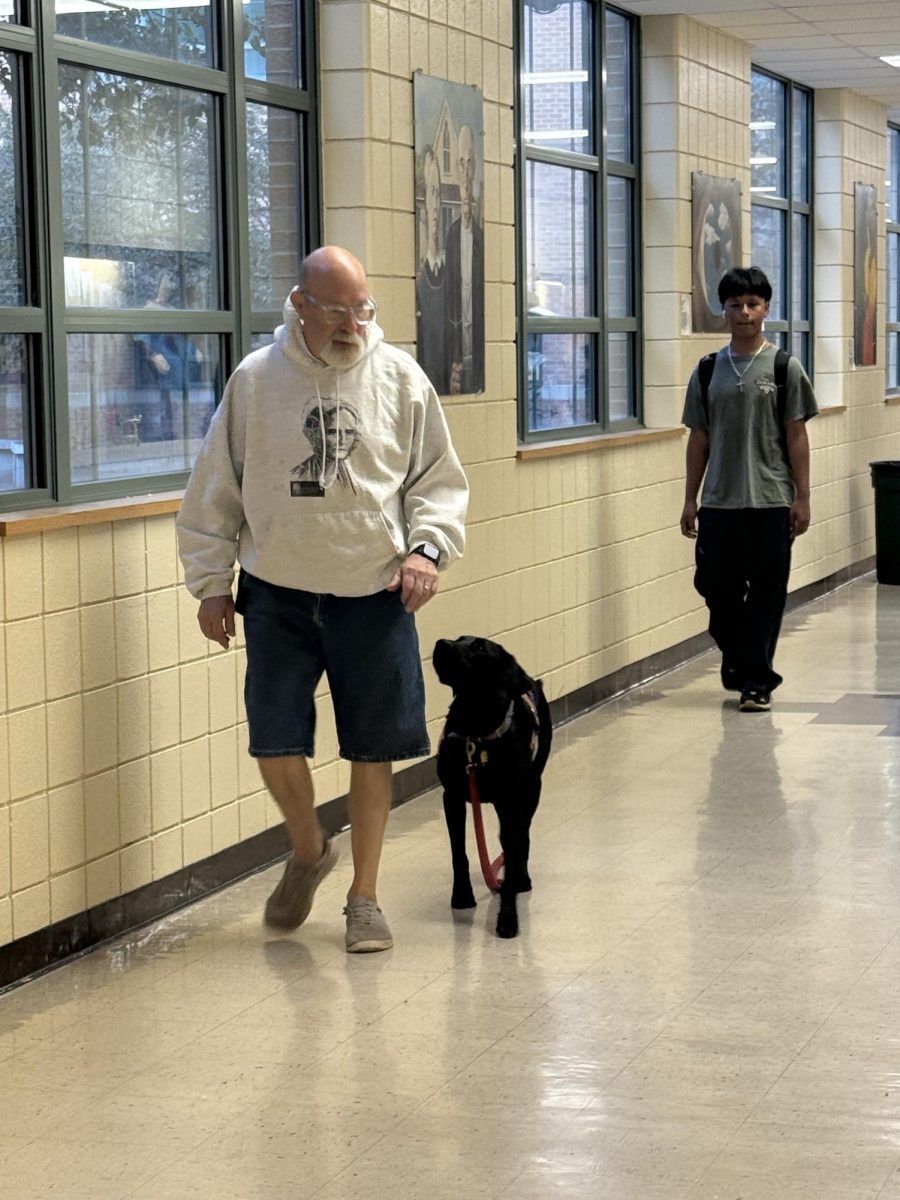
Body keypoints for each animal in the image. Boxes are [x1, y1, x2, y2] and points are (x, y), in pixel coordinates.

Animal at [434, 638, 554, 936]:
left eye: (479, 648)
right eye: (459, 638)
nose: (441, 642)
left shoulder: (514, 801)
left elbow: (511, 858)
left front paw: (508, 918)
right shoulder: (452, 798)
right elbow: (459, 854)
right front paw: (462, 896)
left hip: (531, 790)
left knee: (522, 838)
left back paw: (522, 878)